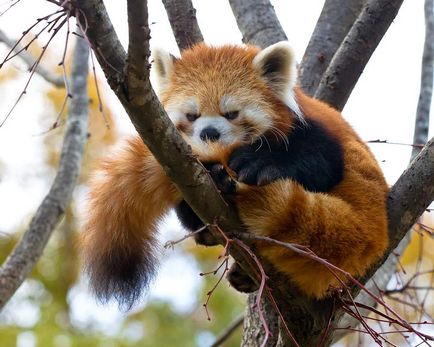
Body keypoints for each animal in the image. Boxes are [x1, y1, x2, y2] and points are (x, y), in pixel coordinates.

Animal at [82, 42, 390, 308]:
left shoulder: (315, 130)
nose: (209, 133)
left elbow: (319, 163)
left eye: (231, 113)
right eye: (192, 115)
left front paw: (259, 164)